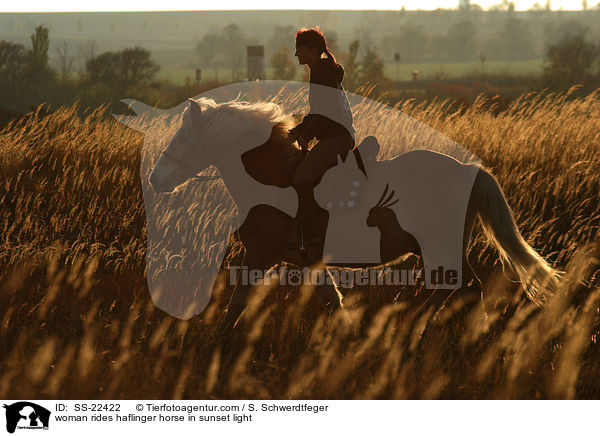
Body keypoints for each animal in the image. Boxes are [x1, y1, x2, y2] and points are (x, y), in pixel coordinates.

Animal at [144, 96, 556, 328]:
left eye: (184, 138)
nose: (155, 179)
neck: (271, 179)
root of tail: (469, 170)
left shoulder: (260, 255)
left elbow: (235, 307)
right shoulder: (308, 262)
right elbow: (334, 303)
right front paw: (350, 337)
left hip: (441, 248)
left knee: (464, 289)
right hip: (436, 250)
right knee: (460, 290)